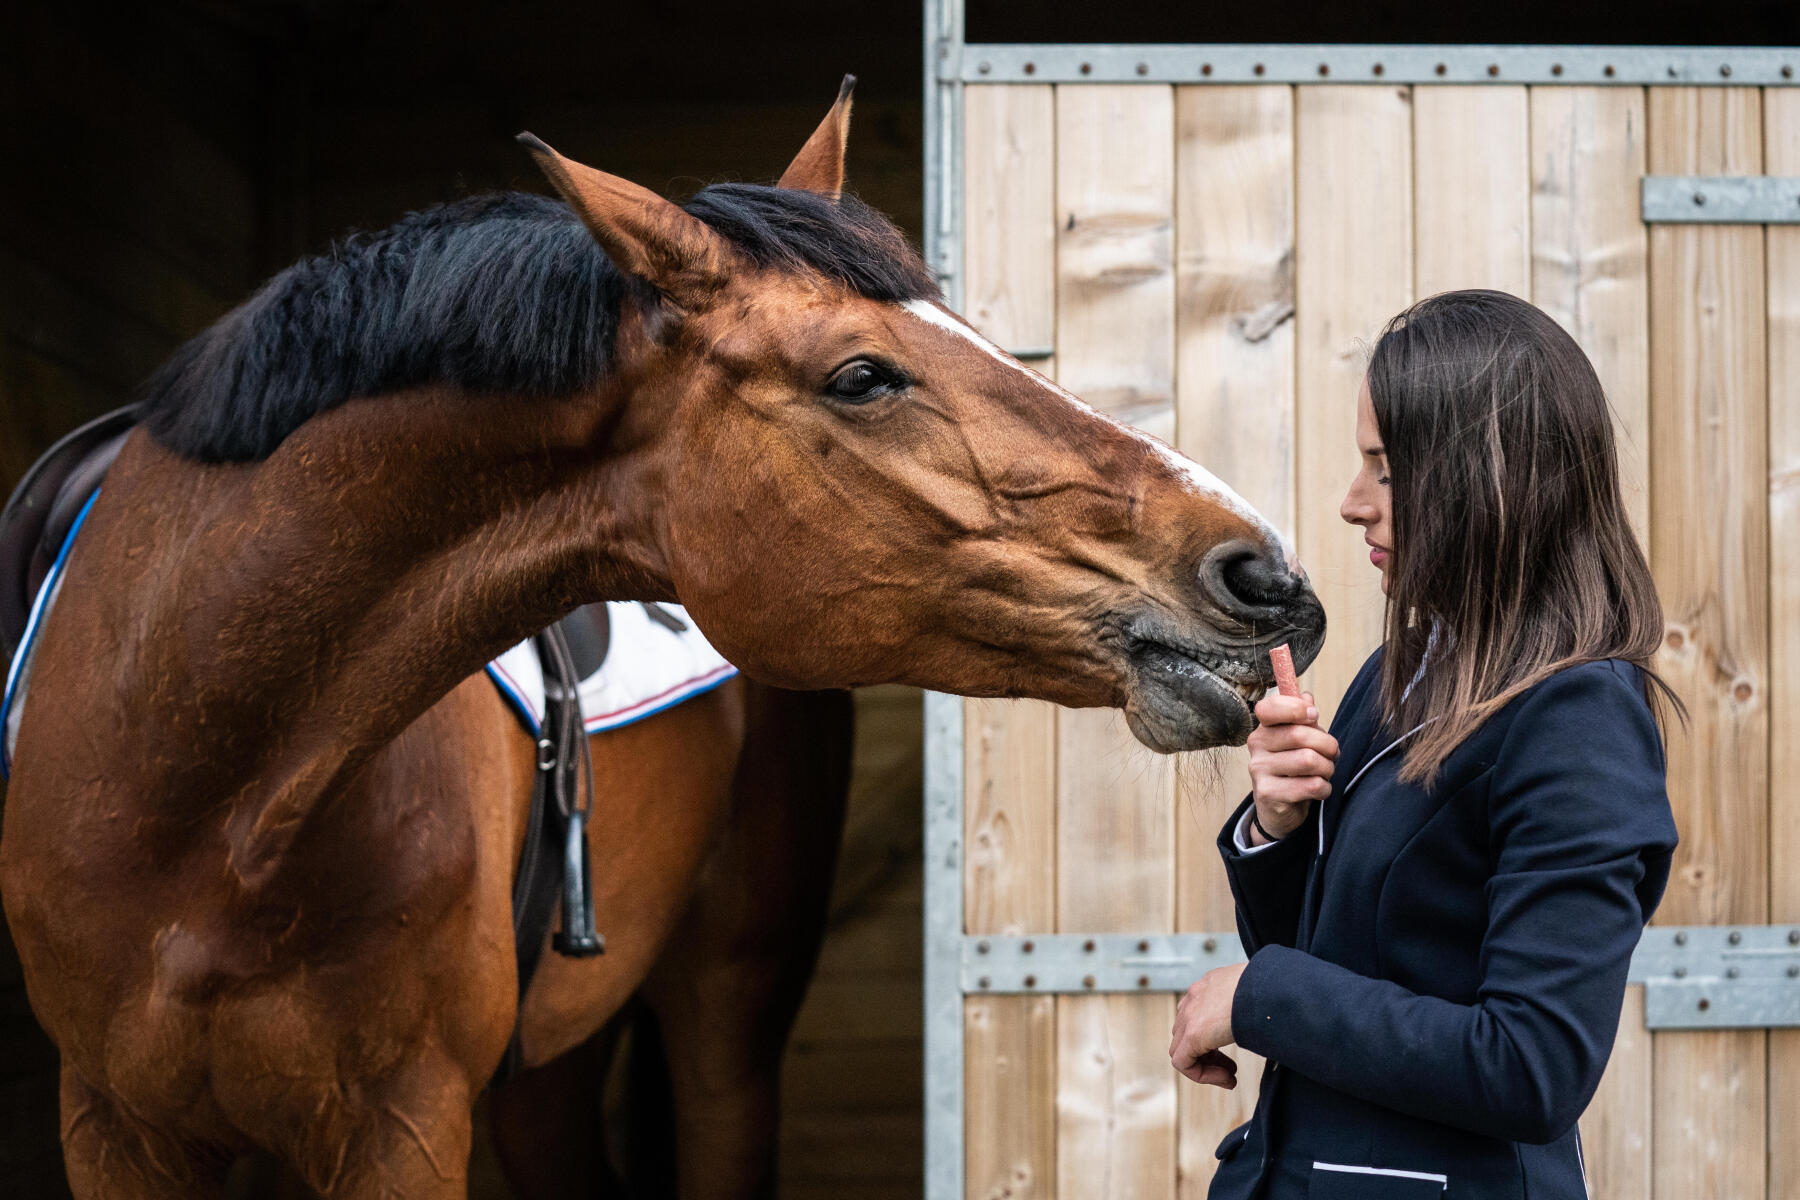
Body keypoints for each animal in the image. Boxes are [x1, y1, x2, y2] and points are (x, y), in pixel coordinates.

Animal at [0, 79, 1324, 1194]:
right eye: (861, 375)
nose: (1263, 572)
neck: (199, 772)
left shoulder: (400, 1123)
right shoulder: (115, 1128)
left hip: (723, 1014)